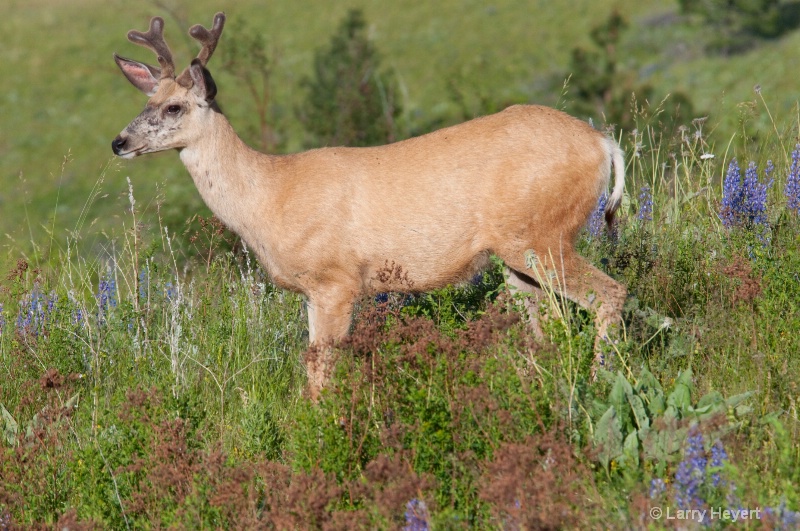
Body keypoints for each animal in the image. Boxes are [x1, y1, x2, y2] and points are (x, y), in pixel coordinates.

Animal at [112, 11, 628, 400]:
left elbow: (321, 372)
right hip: (519, 257)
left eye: (174, 107)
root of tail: (604, 145)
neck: (269, 196)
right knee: (549, 324)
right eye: (146, 101)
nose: (119, 142)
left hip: (541, 235)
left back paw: (602, 382)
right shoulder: (312, 291)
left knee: (610, 293)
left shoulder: (336, 280)